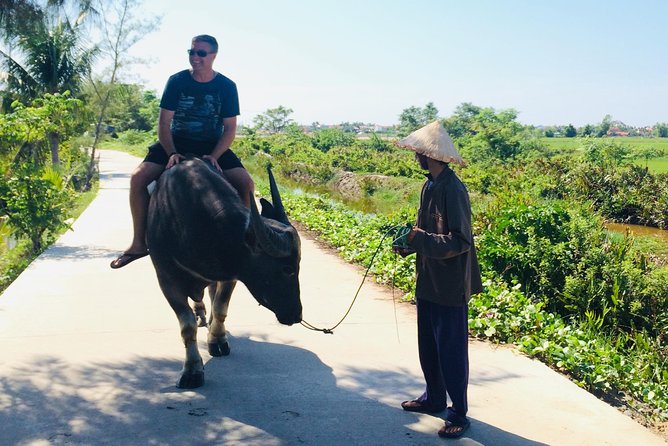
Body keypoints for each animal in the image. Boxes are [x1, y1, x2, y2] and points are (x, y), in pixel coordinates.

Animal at [148, 157, 302, 386]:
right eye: (287, 269)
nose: (297, 314)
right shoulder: (166, 279)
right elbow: (187, 326)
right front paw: (192, 370)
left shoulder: (231, 275)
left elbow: (221, 308)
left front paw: (217, 340)